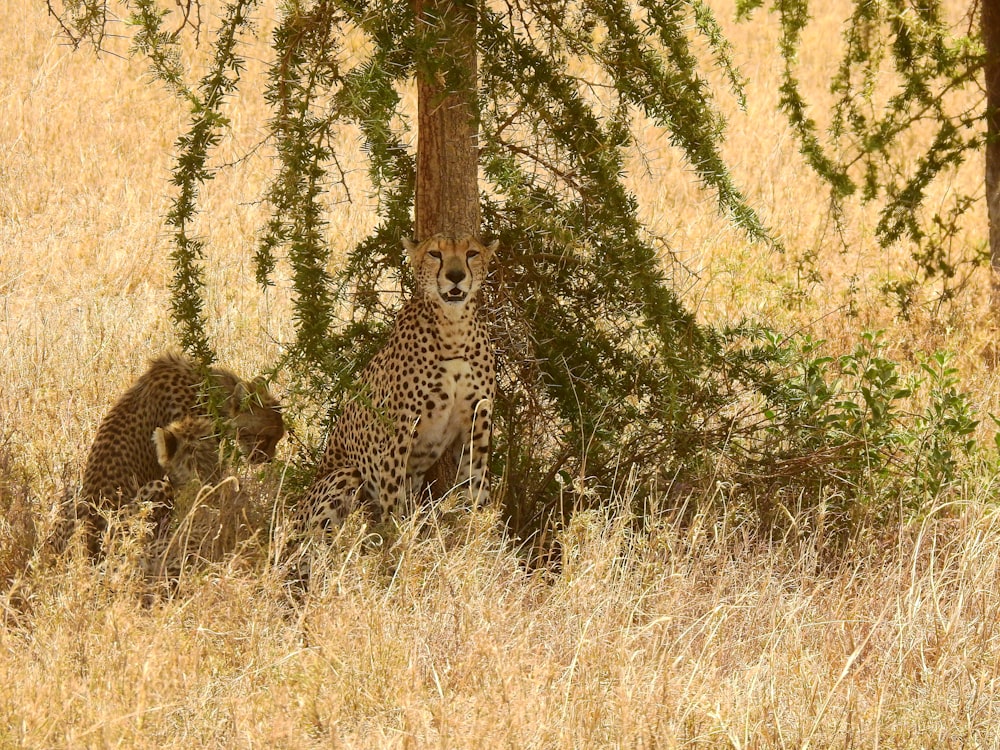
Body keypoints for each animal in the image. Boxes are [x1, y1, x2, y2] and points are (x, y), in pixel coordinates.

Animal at [296, 235, 500, 540]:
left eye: (472, 253)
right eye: (435, 254)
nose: (455, 276)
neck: (454, 327)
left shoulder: (476, 425)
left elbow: (475, 484)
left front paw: (479, 535)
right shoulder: (398, 434)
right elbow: (393, 500)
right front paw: (397, 543)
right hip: (343, 476)